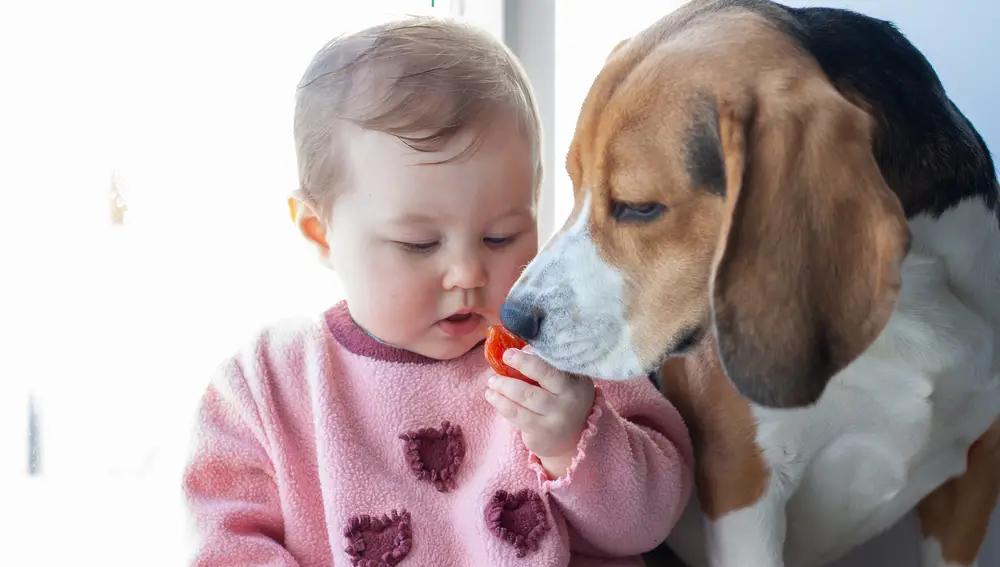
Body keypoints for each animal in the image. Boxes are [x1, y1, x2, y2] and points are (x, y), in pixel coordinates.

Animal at [504, 1, 996, 567]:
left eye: (639, 206)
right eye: (573, 182)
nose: (513, 316)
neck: (912, 310)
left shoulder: (973, 480)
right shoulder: (745, 483)